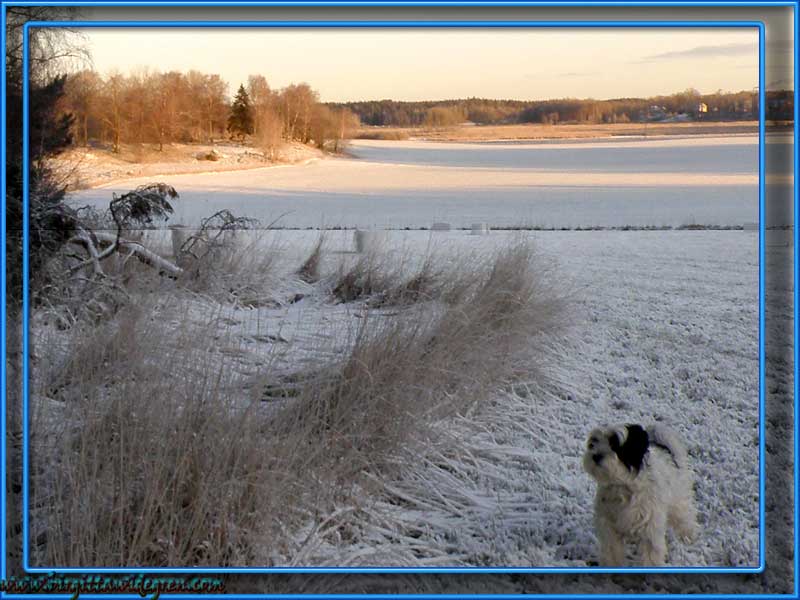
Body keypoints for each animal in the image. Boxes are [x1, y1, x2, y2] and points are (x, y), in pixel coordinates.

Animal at [584, 422, 696, 568]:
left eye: (615, 444)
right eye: (593, 443)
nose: (595, 456)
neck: (622, 485)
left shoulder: (649, 528)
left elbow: (650, 556)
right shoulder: (609, 528)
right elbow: (612, 552)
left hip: (678, 500)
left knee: (685, 518)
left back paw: (688, 537)